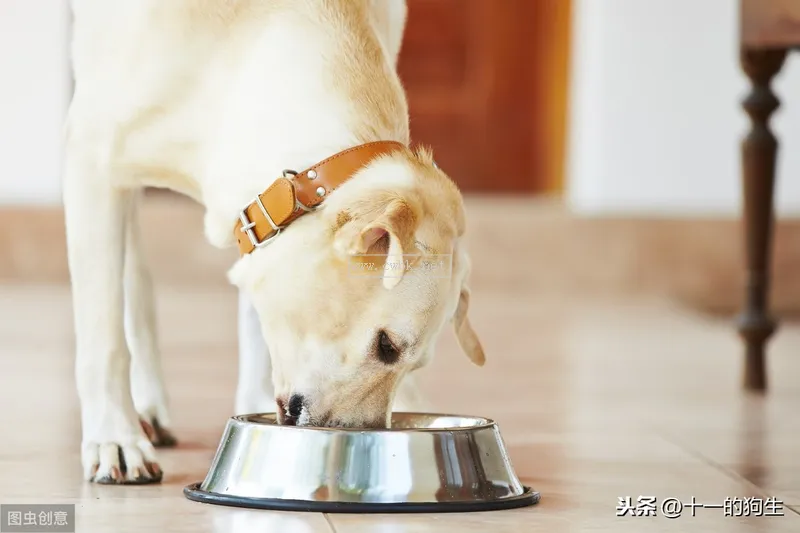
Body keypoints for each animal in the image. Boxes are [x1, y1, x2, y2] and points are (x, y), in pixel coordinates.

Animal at [62, 0, 484, 484]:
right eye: (387, 346)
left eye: (414, 363)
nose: (366, 442)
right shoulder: (91, 162)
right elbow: (104, 339)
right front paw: (114, 437)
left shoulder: (257, 222)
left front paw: (254, 405)